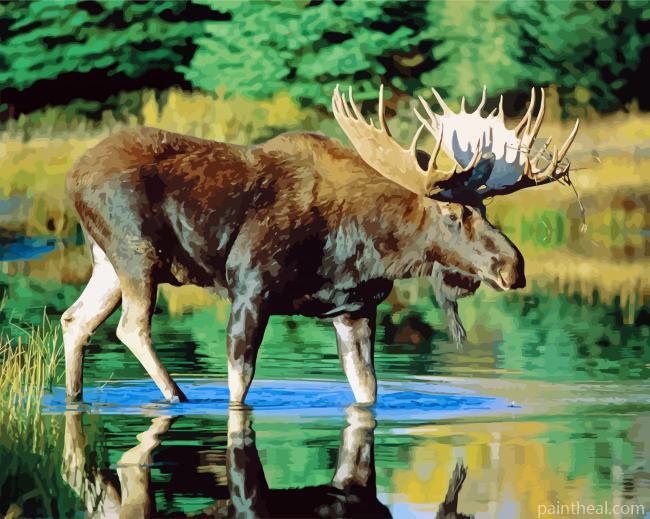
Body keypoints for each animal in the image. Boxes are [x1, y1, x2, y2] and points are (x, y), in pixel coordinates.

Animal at [61, 83, 576, 407]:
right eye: (453, 214)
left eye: (485, 209)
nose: (513, 266)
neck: (365, 247)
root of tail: (73, 175)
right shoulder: (249, 288)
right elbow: (238, 387)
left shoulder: (354, 309)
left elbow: (367, 392)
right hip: (135, 252)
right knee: (130, 326)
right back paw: (176, 397)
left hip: (107, 262)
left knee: (75, 319)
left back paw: (75, 398)